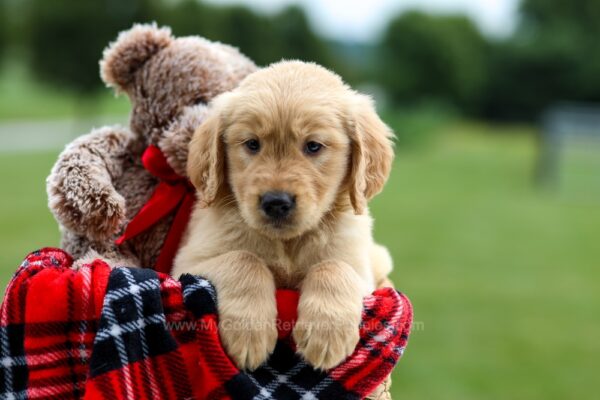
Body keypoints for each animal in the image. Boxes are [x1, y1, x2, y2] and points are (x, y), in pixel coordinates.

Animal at [171, 61, 396, 370]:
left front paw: (326, 334)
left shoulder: (362, 272)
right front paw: (249, 335)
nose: (276, 203)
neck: (287, 244)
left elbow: (333, 267)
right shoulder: (187, 263)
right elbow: (244, 259)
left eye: (313, 146)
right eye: (252, 144)